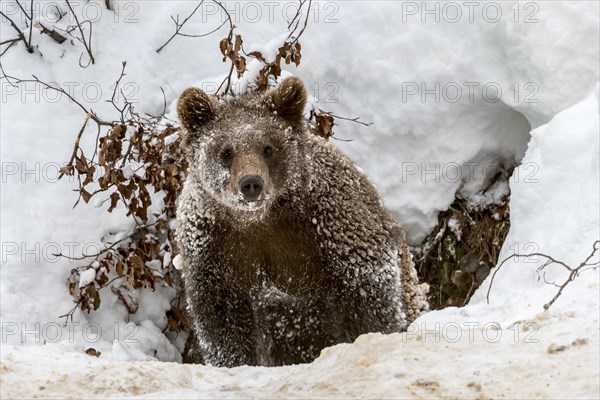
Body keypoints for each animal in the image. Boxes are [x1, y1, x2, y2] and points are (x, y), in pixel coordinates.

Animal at [173, 76, 426, 368]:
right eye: (226, 151)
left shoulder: (329, 221)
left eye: (268, 148)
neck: (259, 219)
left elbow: (368, 289)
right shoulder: (213, 246)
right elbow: (222, 319)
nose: (251, 183)